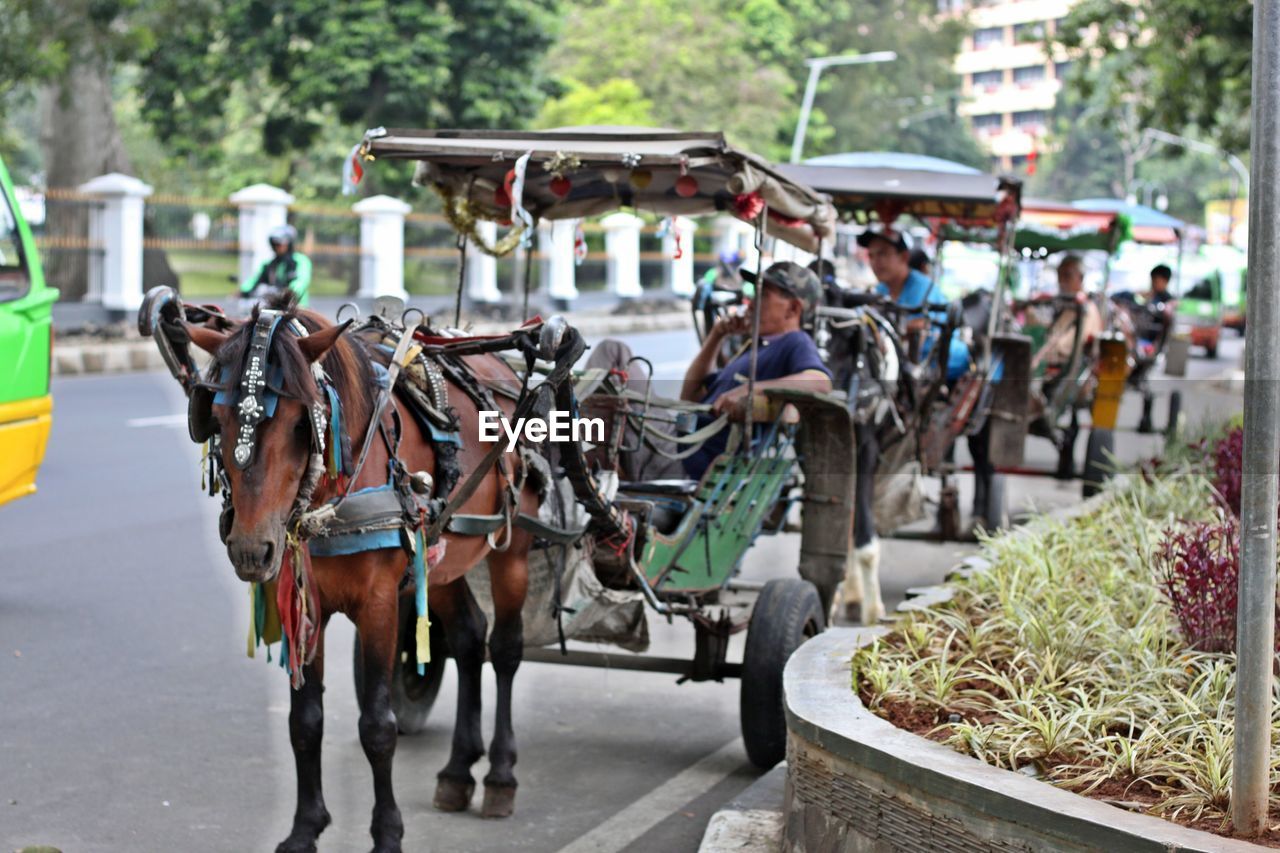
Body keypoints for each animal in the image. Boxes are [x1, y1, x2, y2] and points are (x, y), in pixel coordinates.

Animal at [185, 300, 535, 850]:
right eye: (214, 417)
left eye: (301, 424)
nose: (250, 549)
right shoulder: (305, 602)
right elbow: (305, 721)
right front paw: (305, 828)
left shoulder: (379, 604)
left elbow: (377, 725)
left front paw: (387, 834)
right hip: (440, 559)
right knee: (467, 638)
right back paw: (458, 770)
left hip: (513, 545)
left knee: (504, 649)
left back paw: (500, 774)